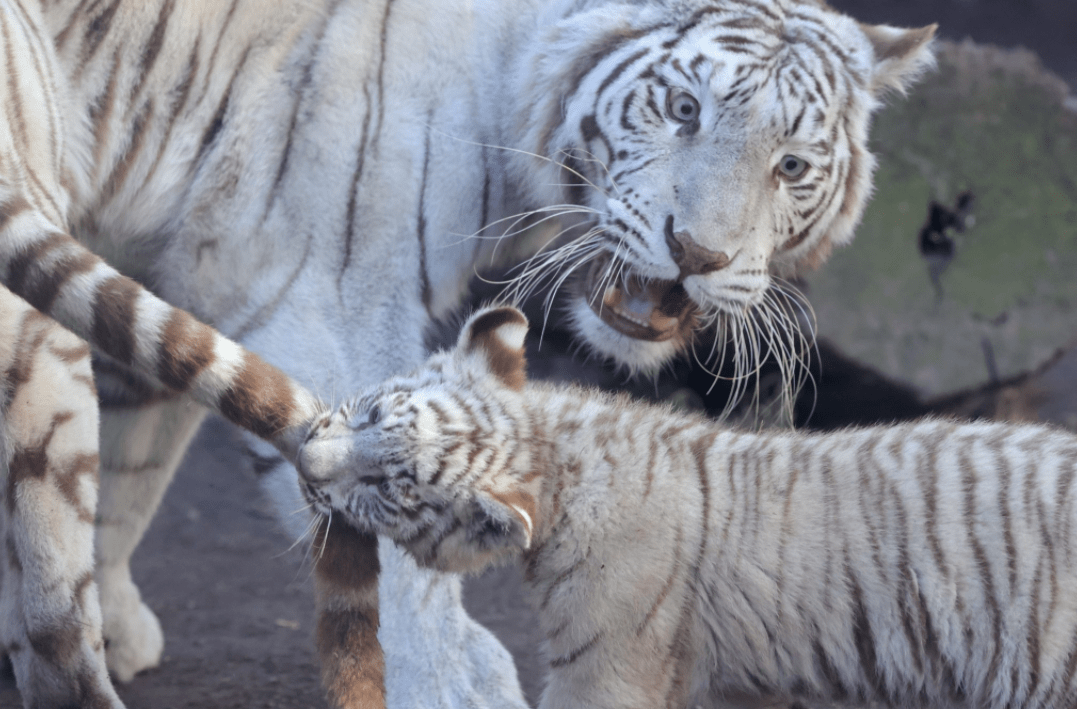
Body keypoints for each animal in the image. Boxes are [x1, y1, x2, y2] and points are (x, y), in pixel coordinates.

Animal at [0, 1, 934, 706]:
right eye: (683, 110)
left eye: (791, 165)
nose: (696, 252)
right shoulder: (321, 293)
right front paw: (460, 681)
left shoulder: (170, 259)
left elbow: (132, 466)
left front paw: (120, 618)